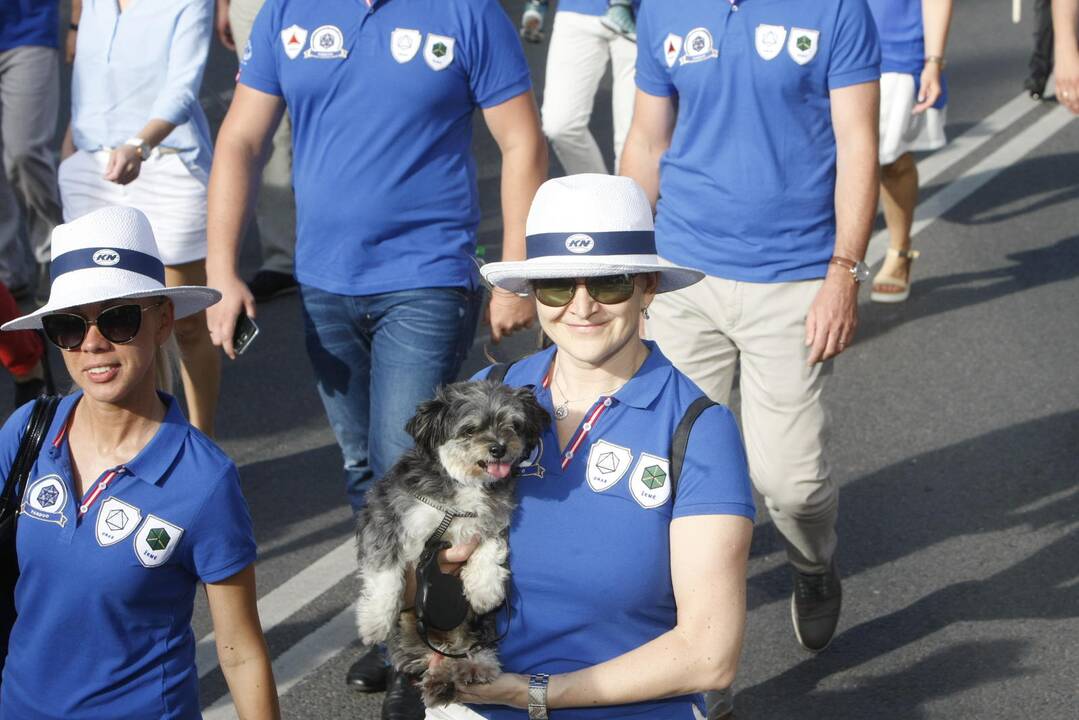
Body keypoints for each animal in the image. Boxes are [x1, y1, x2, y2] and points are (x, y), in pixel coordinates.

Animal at [358, 379, 552, 708]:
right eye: (470, 429)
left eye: (513, 425)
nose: (499, 448)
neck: (464, 485)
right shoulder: (385, 519)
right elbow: (387, 575)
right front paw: (375, 619)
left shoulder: (494, 520)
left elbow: (490, 550)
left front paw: (484, 588)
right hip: (409, 634)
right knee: (425, 659)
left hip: (477, 624)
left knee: (470, 645)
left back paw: (472, 667)